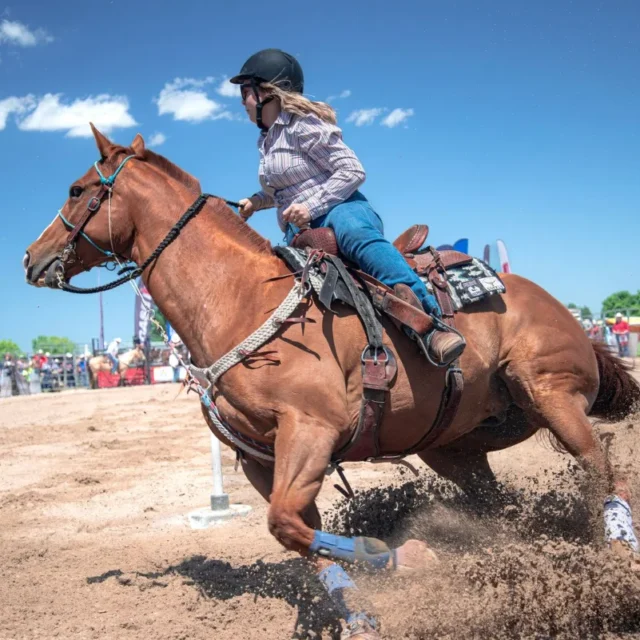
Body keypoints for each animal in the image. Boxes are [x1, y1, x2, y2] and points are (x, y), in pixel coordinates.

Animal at [23, 126, 640, 639]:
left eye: (78, 189)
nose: (31, 257)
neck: (241, 299)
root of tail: (547, 301)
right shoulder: (261, 457)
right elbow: (296, 532)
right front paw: (362, 614)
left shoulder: (311, 431)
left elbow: (286, 524)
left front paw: (407, 558)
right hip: (456, 448)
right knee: (500, 504)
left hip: (552, 395)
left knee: (603, 468)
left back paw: (617, 556)